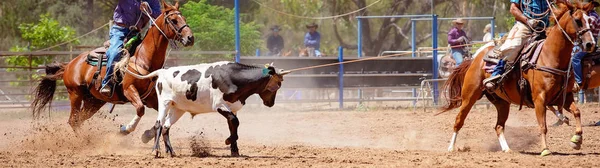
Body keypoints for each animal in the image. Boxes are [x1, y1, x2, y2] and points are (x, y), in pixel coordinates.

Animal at [31, 0, 195, 135]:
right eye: (173, 20)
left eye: (184, 19)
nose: (190, 38)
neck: (142, 58)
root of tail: (70, 64)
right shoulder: (129, 89)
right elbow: (140, 109)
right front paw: (126, 129)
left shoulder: (152, 98)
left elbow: (162, 115)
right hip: (75, 94)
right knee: (73, 120)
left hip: (93, 101)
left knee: (79, 120)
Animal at [125, 61, 290, 157]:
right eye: (276, 86)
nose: (270, 103)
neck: (233, 76)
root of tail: (162, 72)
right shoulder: (219, 105)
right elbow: (235, 122)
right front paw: (228, 141)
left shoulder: (232, 108)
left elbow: (233, 125)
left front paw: (234, 150)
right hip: (164, 103)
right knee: (159, 124)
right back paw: (156, 151)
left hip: (177, 109)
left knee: (166, 127)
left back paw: (171, 152)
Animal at [438, 1, 596, 156]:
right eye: (577, 20)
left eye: (590, 20)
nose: (590, 44)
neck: (550, 56)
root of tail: (475, 58)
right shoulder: (540, 99)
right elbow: (542, 125)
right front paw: (545, 149)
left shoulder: (565, 97)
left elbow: (577, 112)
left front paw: (577, 140)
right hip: (469, 96)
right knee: (459, 120)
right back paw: (451, 148)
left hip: (502, 102)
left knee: (499, 126)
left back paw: (506, 149)